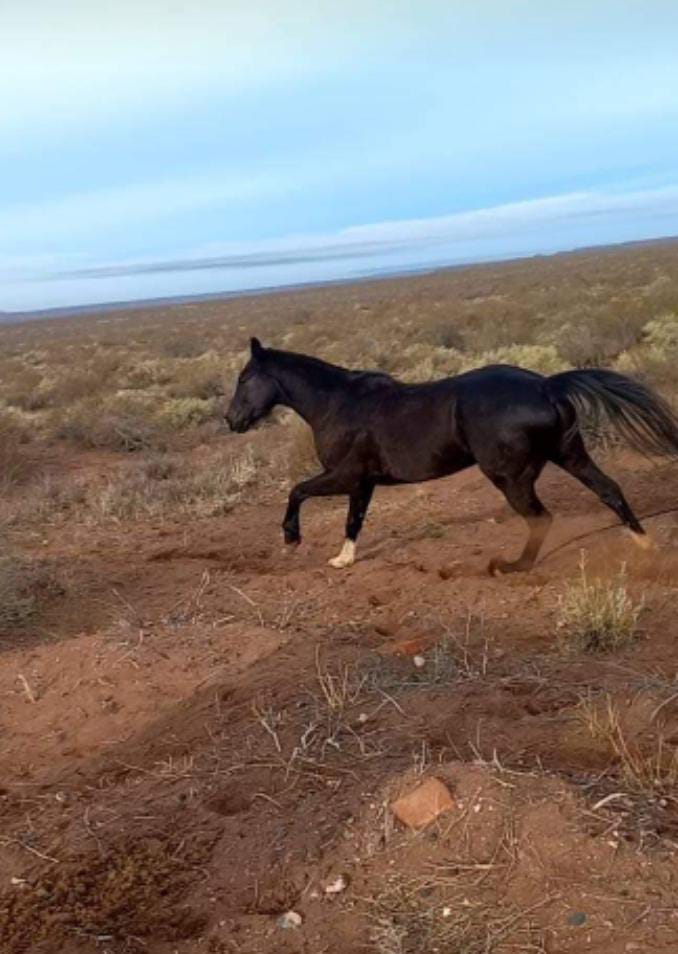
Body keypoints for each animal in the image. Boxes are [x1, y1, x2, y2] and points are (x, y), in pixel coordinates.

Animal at [228, 336, 678, 568]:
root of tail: (545, 385)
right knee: (609, 489)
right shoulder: (363, 482)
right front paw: (343, 560)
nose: (232, 421)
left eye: (244, 378)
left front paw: (292, 538)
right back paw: (644, 546)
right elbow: (353, 520)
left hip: (510, 476)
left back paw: (511, 566)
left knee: (541, 518)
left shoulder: (345, 475)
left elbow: (297, 491)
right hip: (569, 453)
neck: (337, 403)